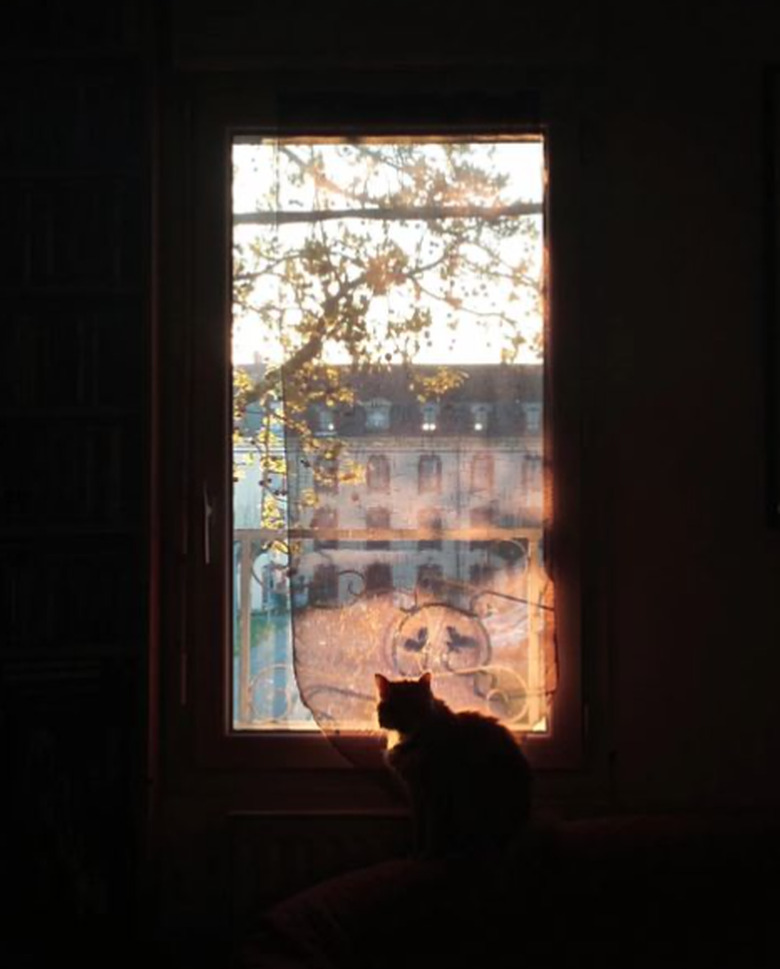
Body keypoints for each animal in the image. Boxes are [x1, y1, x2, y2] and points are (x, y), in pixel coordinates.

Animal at [374, 668, 532, 860]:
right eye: (395, 707)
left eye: (415, 706)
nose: (407, 721)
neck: (408, 739)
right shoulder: (415, 792)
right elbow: (418, 827)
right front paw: (415, 853)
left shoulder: (435, 791)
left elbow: (431, 828)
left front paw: (427, 855)